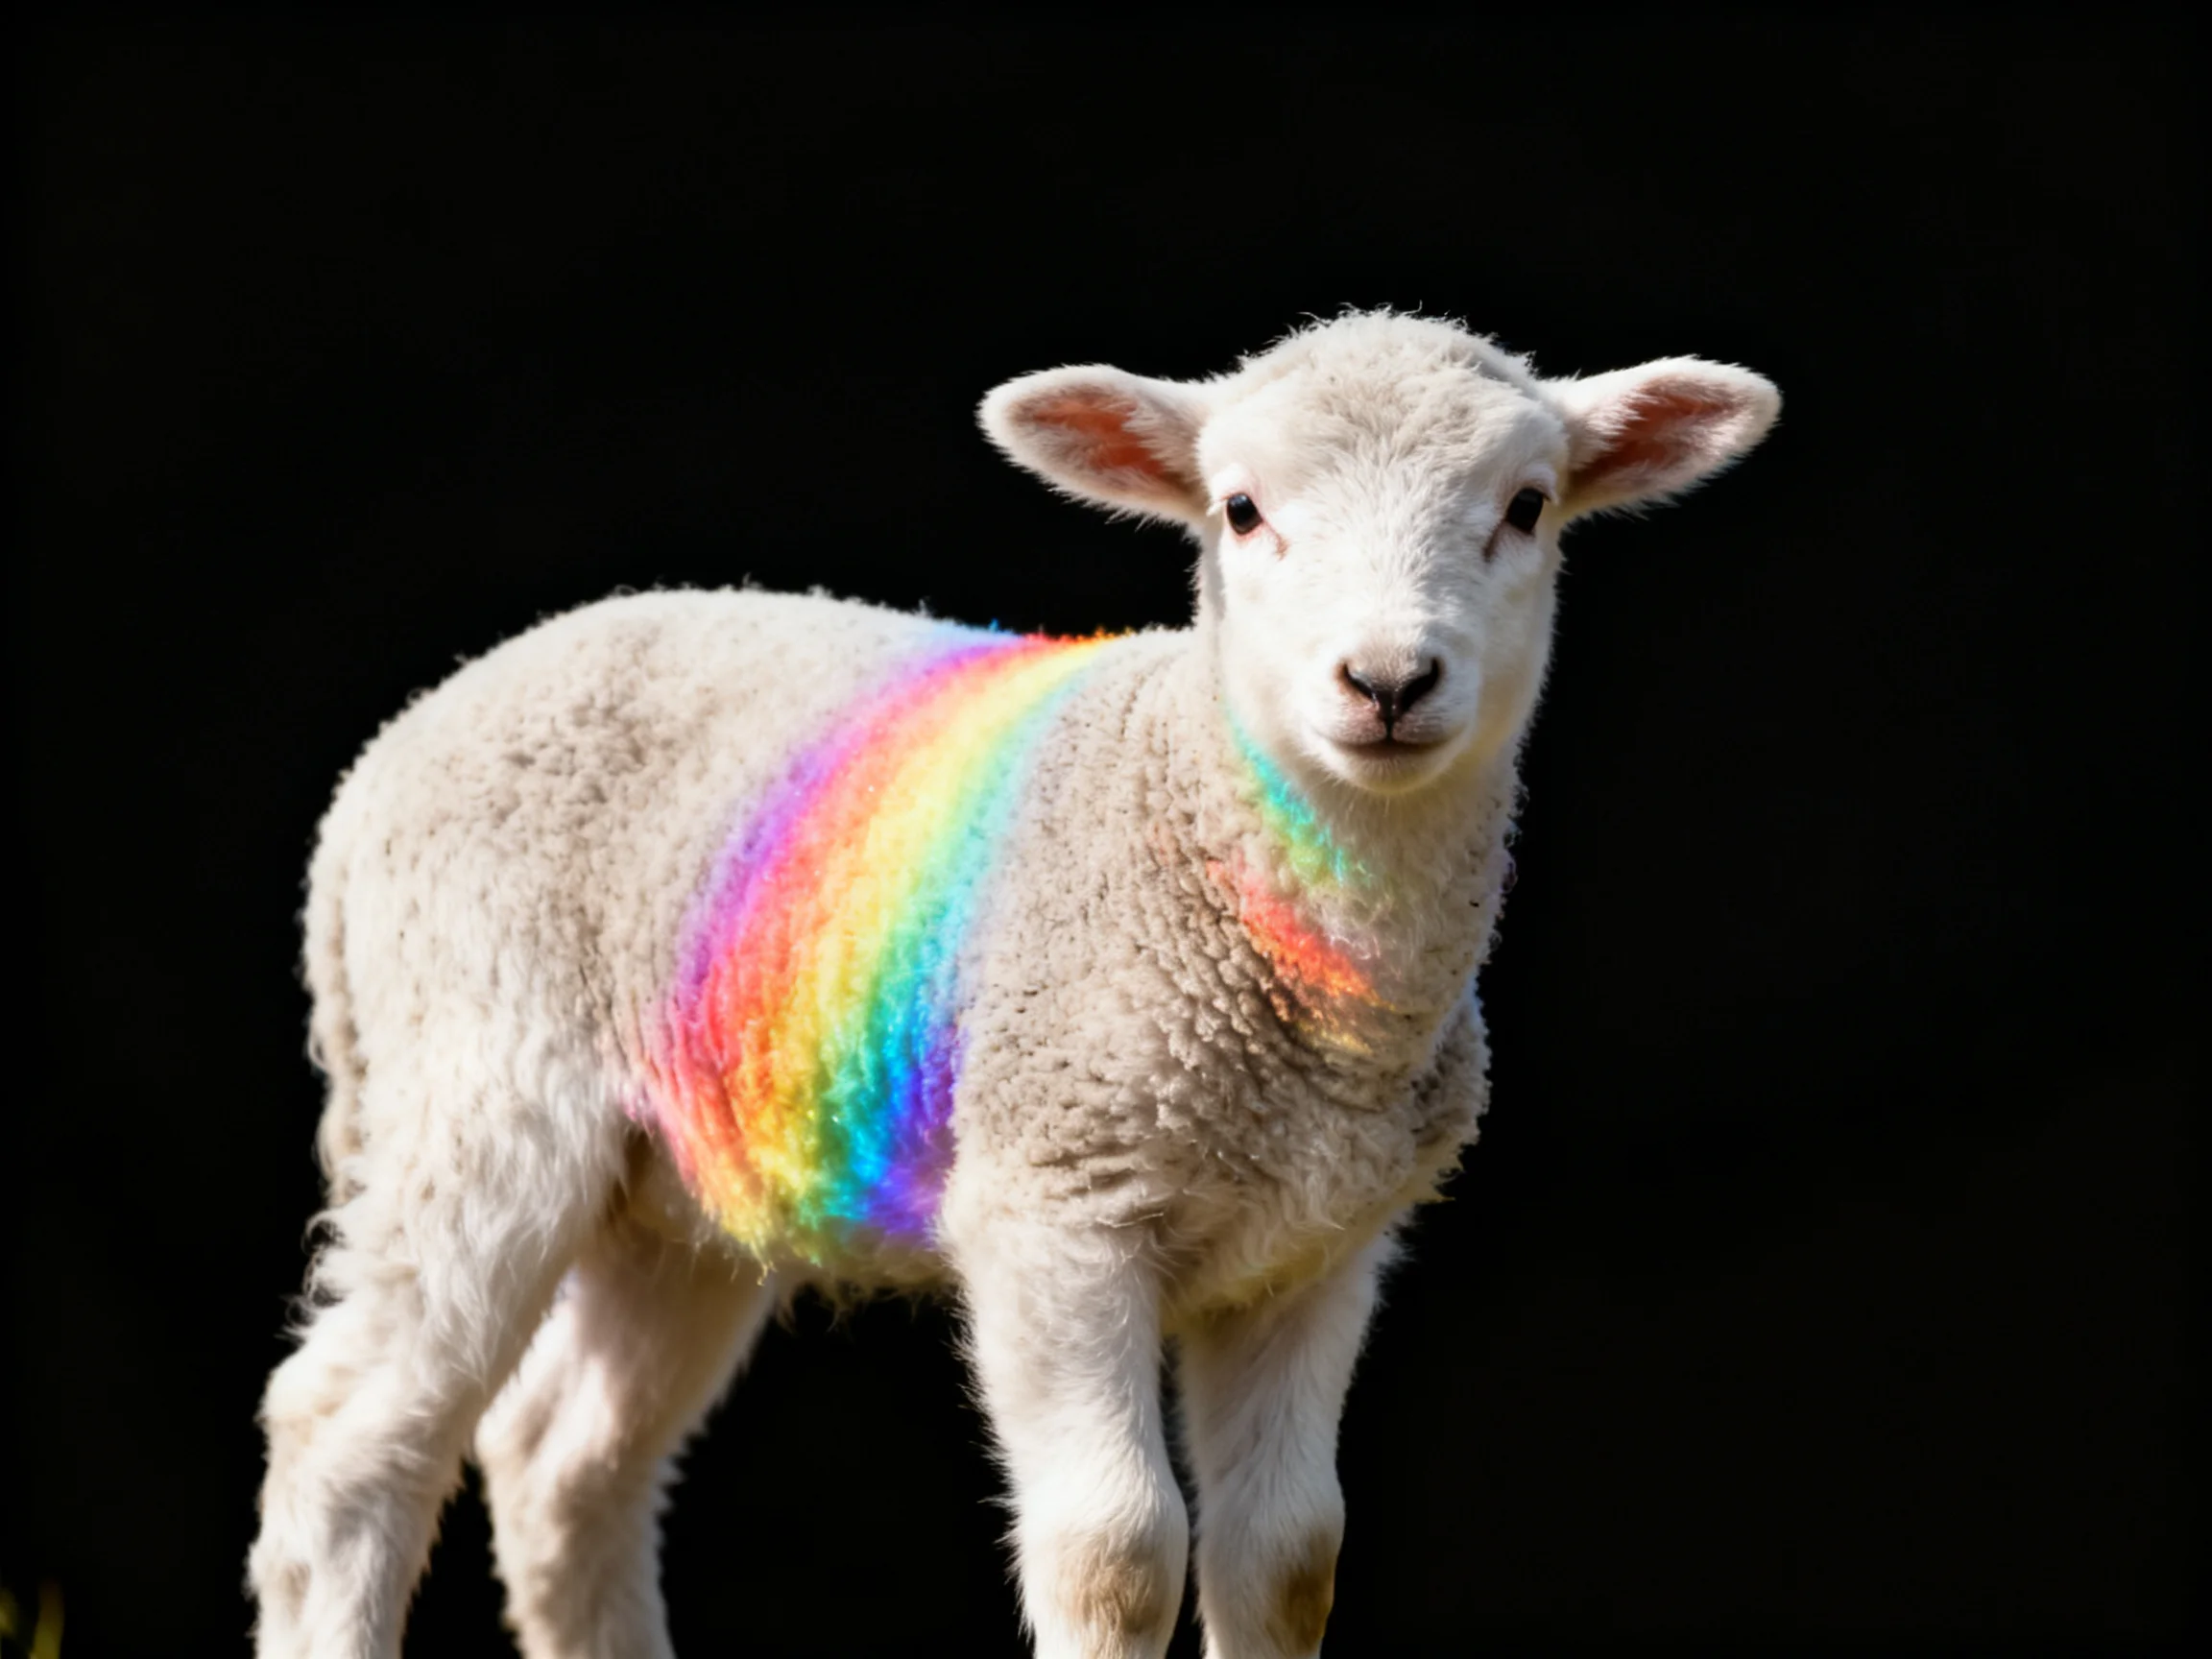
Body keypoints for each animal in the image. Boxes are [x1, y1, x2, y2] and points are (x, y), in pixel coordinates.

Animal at [248, 311, 1778, 1659]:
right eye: (1240, 512)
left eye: (1527, 506)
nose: (1390, 681)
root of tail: (389, 760)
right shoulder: (1054, 1199)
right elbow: (1117, 1550)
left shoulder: (1318, 1246)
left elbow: (1285, 1555)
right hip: (476, 1077)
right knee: (350, 1443)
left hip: (674, 1186)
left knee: (564, 1464)